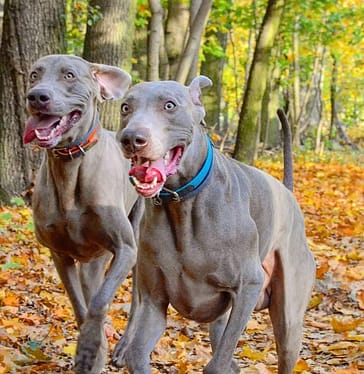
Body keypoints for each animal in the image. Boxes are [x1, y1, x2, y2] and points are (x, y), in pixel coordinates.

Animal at [23, 54, 142, 374]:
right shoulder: (59, 253)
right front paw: (92, 351)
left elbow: (99, 303)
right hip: (93, 259)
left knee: (137, 299)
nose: (37, 96)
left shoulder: (126, 248)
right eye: (34, 74)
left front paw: (89, 349)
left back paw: (123, 348)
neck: (70, 165)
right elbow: (81, 306)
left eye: (69, 75)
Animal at [112, 76, 318, 374]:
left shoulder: (248, 285)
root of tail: (287, 193)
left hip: (288, 321)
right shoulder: (154, 300)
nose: (131, 138)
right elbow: (137, 354)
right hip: (222, 319)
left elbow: (216, 364)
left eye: (170, 105)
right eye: (126, 107)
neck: (182, 206)